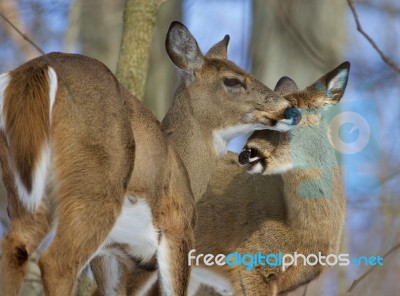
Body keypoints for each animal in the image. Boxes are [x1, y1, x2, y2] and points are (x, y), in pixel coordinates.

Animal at [0, 21, 300, 296]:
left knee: (15, 249)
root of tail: (38, 71)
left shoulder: (111, 253)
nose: (290, 109)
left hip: (25, 191)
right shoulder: (177, 228)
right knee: (57, 263)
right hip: (96, 186)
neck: (184, 167)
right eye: (232, 80)